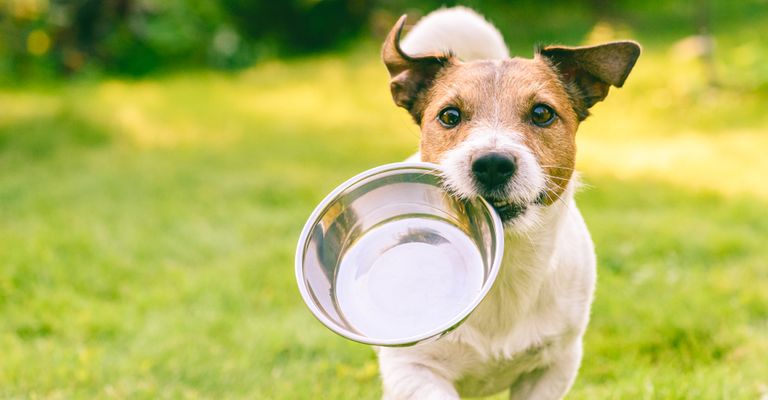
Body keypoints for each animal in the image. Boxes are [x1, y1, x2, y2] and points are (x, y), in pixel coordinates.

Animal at [376, 6, 640, 400]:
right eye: (449, 116)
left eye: (542, 113)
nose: (492, 164)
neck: (504, 266)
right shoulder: (413, 368)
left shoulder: (554, 365)